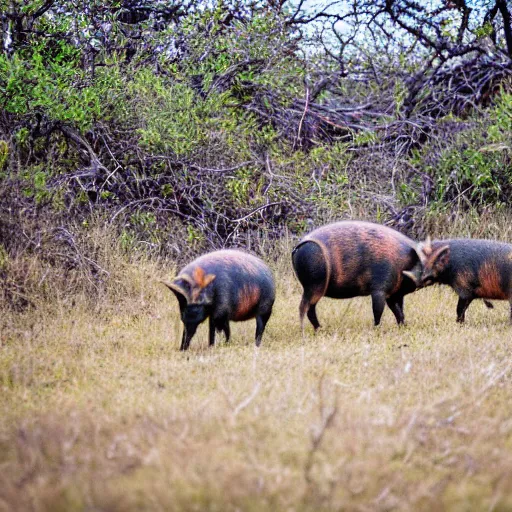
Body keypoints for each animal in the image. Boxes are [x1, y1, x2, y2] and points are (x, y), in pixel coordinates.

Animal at [290, 221, 422, 332]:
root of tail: (297, 247)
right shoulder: (379, 290)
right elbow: (378, 312)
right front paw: (377, 330)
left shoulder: (395, 294)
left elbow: (399, 312)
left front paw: (403, 327)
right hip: (314, 288)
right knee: (304, 308)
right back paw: (307, 332)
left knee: (309, 309)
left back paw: (319, 329)